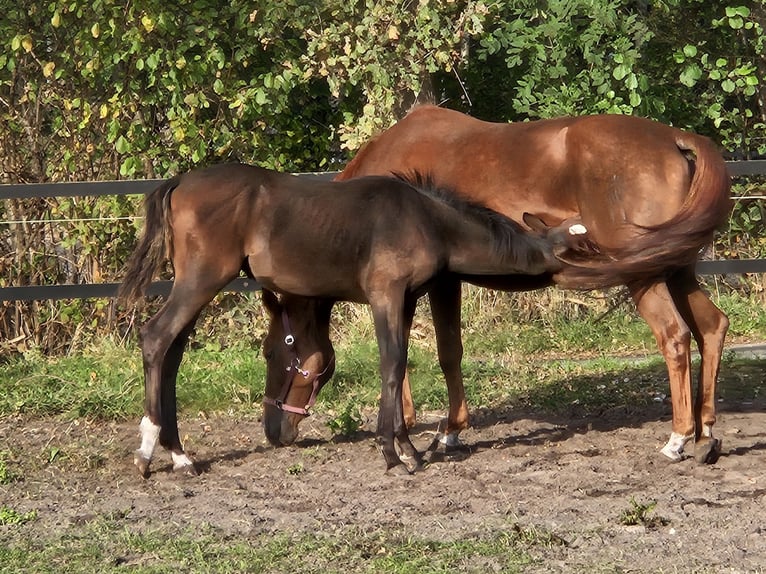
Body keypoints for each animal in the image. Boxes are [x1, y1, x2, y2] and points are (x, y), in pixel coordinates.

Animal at [118, 162, 588, 476]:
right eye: (268, 354)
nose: (274, 432)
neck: (427, 220)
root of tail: (179, 181)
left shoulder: (406, 300)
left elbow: (401, 364)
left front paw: (409, 449)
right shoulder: (385, 296)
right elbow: (392, 363)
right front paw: (392, 453)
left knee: (173, 353)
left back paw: (179, 454)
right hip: (202, 280)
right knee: (156, 338)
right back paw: (149, 451)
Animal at [262, 108, 732, 466]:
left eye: (272, 352)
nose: (273, 432)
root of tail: (674, 138)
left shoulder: (430, 285)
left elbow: (440, 352)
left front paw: (443, 431)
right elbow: (411, 352)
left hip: (646, 276)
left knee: (675, 337)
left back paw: (677, 439)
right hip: (675, 269)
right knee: (711, 327)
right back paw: (705, 435)